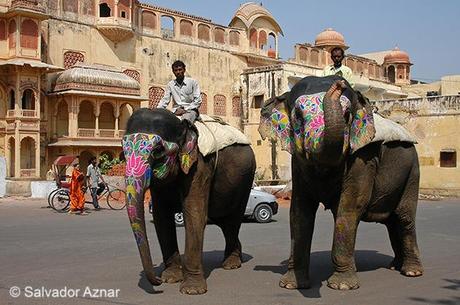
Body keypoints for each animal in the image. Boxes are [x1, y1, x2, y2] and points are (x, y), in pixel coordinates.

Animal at [122, 108, 255, 294]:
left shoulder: (200, 165)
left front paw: (192, 290)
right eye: (123, 152)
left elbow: (194, 214)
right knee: (223, 221)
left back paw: (231, 264)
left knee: (233, 220)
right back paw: (236, 257)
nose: (157, 281)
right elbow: (161, 217)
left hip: (246, 179)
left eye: (157, 151)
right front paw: (170, 278)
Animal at [258, 76, 424, 290]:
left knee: (404, 218)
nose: (339, 84)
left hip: (412, 170)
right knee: (391, 220)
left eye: (347, 115)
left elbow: (349, 208)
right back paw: (395, 265)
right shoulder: (298, 163)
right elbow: (299, 211)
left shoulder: (363, 156)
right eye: (298, 116)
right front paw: (291, 285)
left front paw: (342, 286)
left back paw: (411, 271)